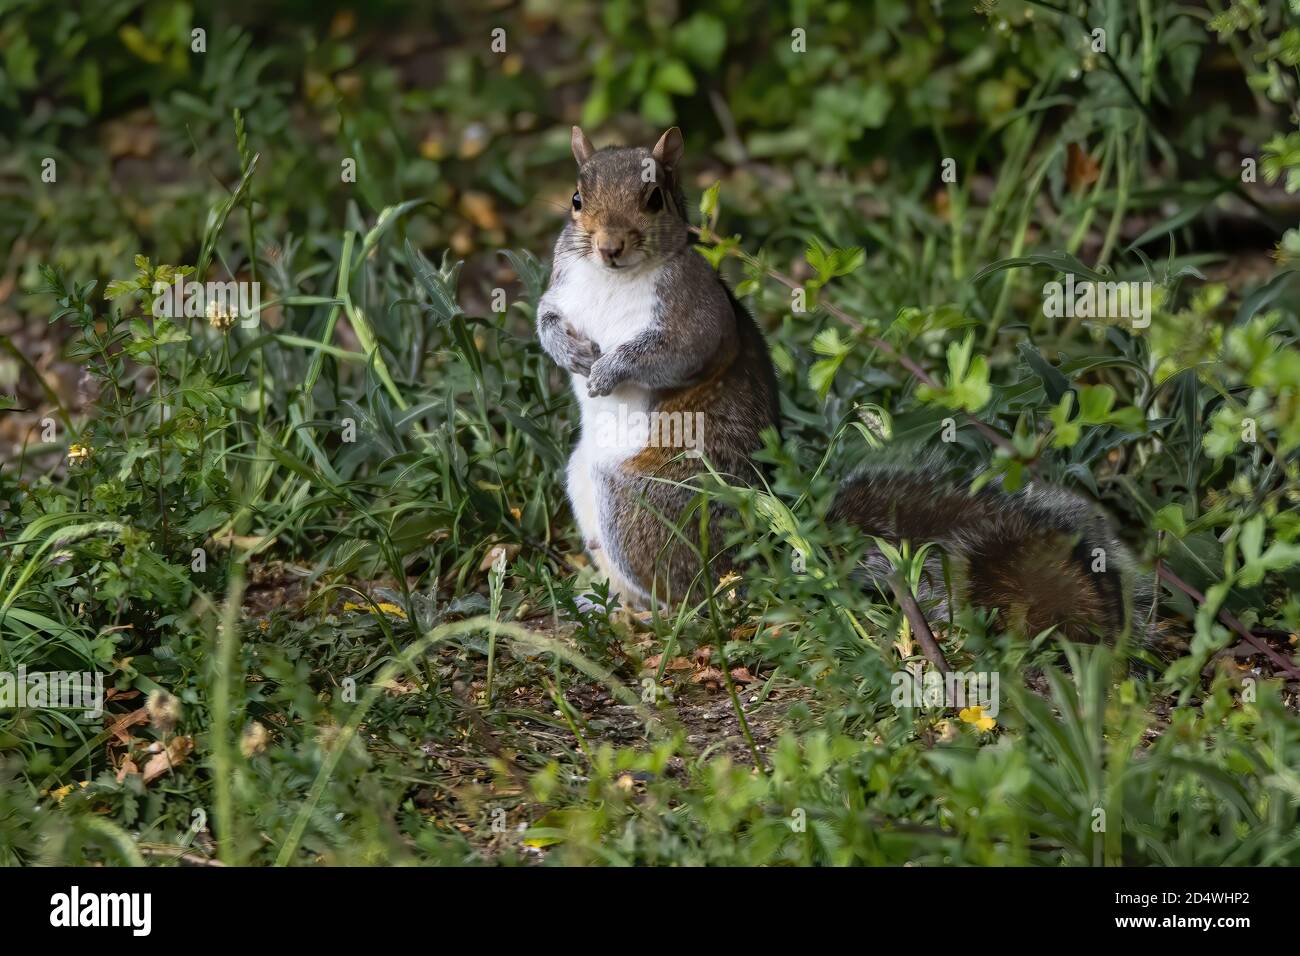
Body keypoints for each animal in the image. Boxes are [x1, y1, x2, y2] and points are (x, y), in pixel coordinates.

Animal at [537, 126, 1150, 642]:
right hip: (584, 480)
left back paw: (650, 614)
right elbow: (545, 319)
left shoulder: (695, 314)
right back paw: (603, 604)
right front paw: (571, 352)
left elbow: (671, 354)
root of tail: (752, 561)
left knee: (691, 594)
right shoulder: (563, 288)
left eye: (654, 199)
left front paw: (610, 369)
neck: (613, 280)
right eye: (575, 199)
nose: (609, 247)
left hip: (640, 499)